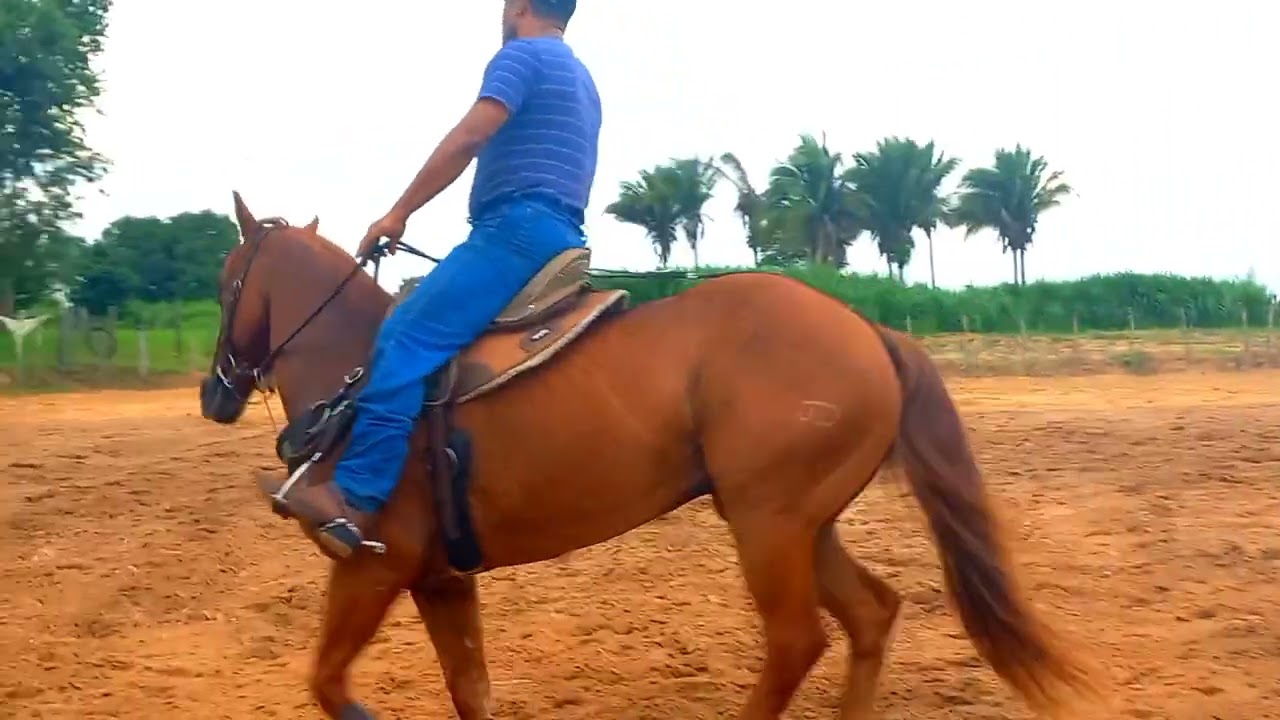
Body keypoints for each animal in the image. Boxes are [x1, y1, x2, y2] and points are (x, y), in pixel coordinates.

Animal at [198, 192, 1097, 719]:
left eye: (225, 282)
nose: (214, 391)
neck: (353, 369)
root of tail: (867, 330)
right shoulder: (442, 581)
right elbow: (471, 691)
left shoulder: (371, 566)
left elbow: (329, 684)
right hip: (802, 523)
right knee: (870, 614)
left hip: (769, 525)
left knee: (796, 641)